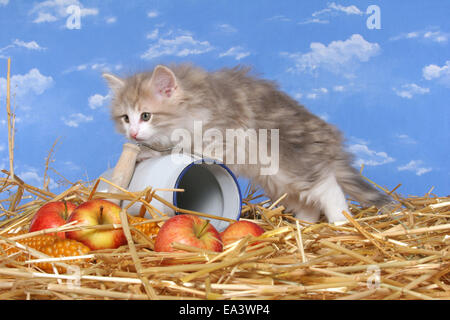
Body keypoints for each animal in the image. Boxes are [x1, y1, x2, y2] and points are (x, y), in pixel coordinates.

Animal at [103, 64, 392, 224]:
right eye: (126, 118)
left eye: (146, 116)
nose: (133, 134)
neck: (195, 102)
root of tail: (329, 138)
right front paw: (143, 150)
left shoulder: (219, 137)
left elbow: (179, 149)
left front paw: (148, 153)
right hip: (276, 180)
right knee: (307, 201)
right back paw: (304, 226)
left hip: (292, 163)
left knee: (327, 187)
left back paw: (341, 222)